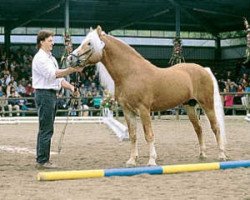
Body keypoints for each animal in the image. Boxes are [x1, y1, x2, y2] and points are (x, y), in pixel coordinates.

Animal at [67, 25, 228, 166]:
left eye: (89, 43)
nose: (70, 58)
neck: (131, 73)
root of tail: (204, 70)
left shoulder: (144, 110)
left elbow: (149, 134)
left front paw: (151, 161)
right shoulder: (128, 111)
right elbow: (133, 135)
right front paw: (132, 160)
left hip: (207, 104)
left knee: (215, 127)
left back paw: (221, 155)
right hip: (190, 106)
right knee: (198, 128)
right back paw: (202, 154)